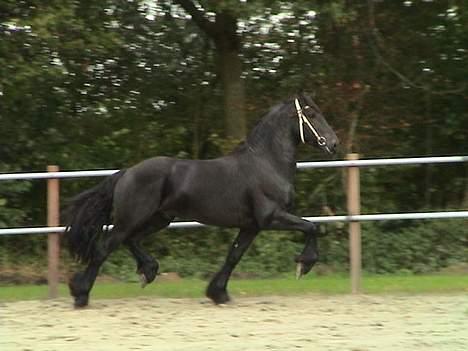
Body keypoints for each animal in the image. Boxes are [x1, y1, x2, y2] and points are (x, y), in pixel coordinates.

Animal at [65, 93, 336, 308]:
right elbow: (313, 226)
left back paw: (148, 271)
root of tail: (127, 172)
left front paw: (218, 294)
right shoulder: (270, 218)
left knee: (131, 241)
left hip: (159, 219)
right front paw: (304, 265)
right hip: (131, 219)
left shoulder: (251, 226)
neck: (266, 163)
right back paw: (81, 295)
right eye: (312, 114)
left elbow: (234, 256)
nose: (333, 143)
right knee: (105, 248)